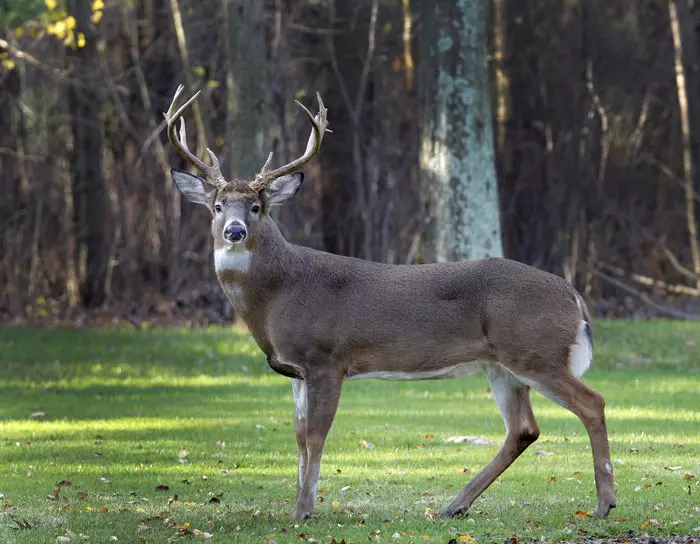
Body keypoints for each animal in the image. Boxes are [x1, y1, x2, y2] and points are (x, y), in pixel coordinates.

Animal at [165, 85, 616, 520]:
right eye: (217, 206)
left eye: (257, 207)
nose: (234, 231)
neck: (279, 294)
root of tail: (574, 296)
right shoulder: (295, 370)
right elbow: (298, 438)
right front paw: (297, 505)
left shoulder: (327, 359)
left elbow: (316, 436)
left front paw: (305, 510)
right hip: (502, 365)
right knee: (523, 429)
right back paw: (454, 506)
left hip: (535, 351)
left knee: (592, 402)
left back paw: (603, 504)